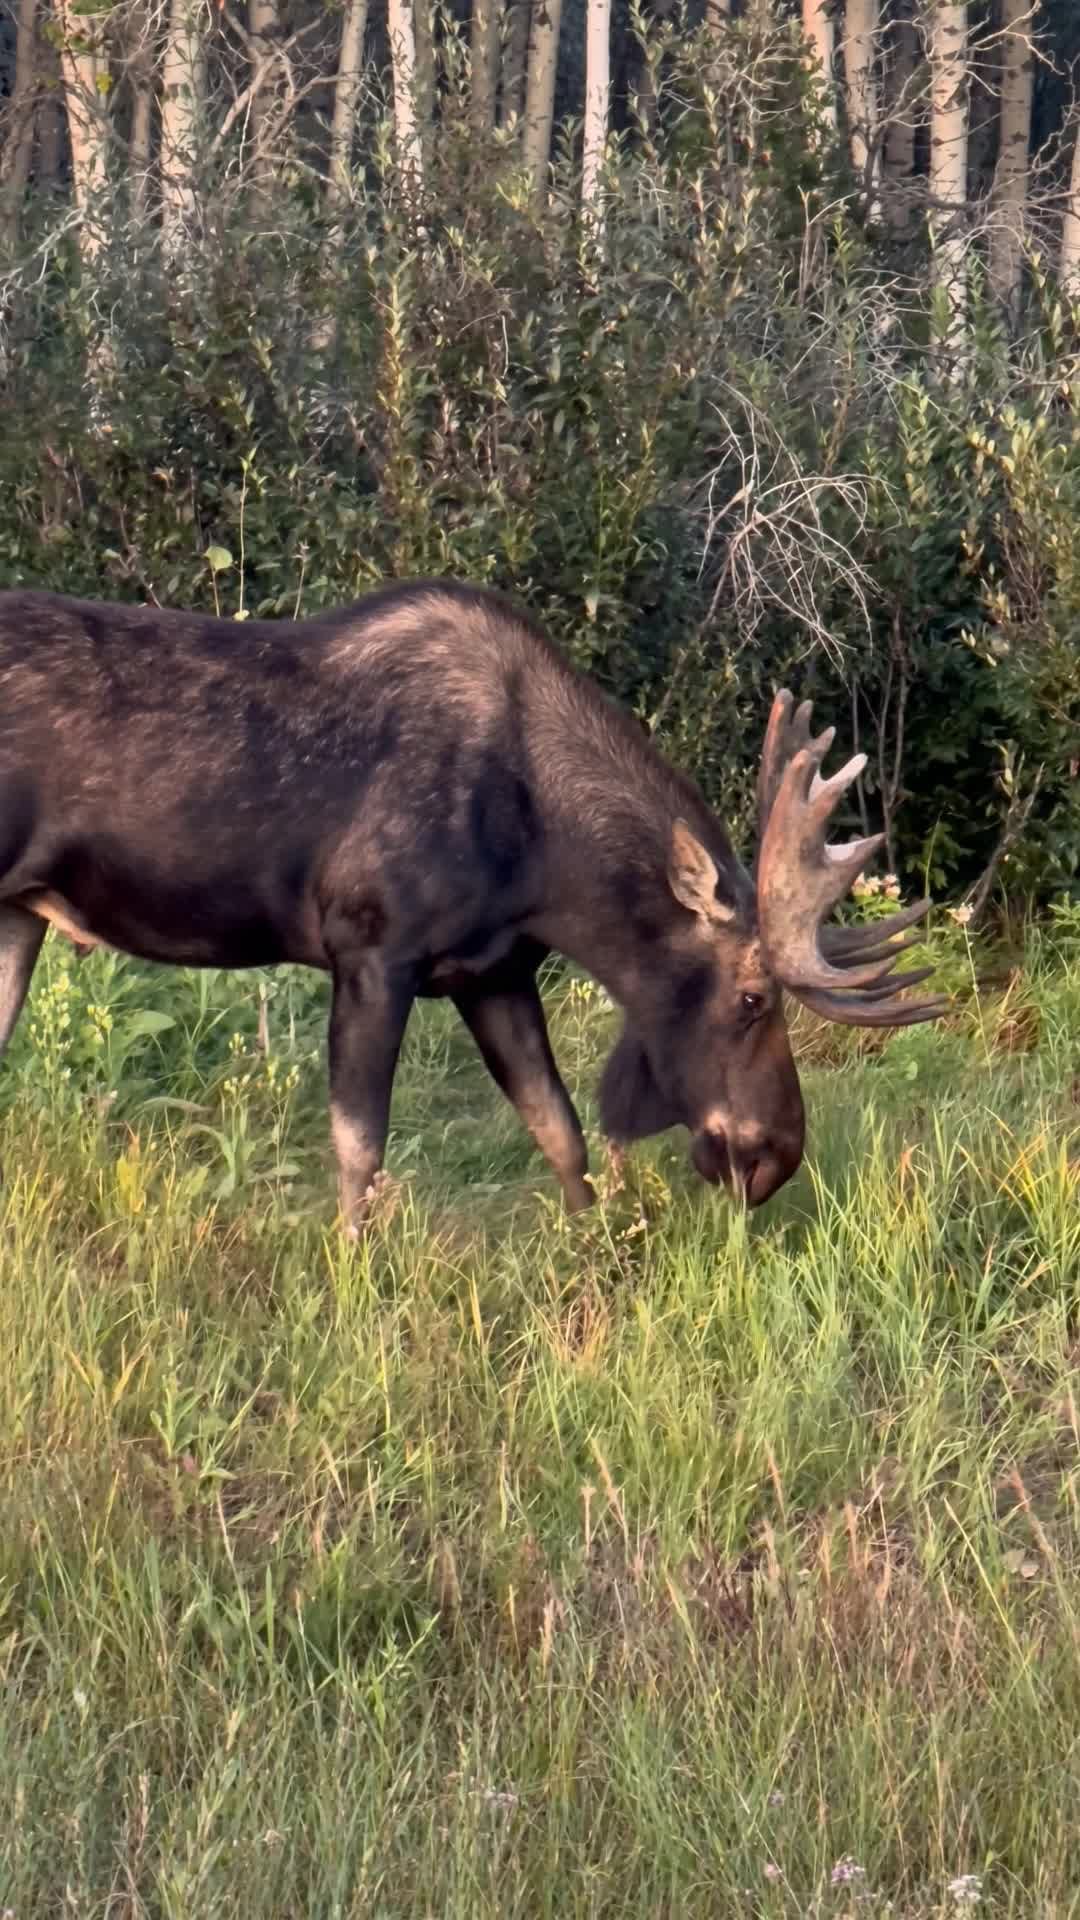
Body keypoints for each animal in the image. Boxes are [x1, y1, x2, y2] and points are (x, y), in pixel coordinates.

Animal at [0, 577, 946, 1228]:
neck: (545, 864)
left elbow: (560, 1130)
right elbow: (361, 1151)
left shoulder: (495, 970)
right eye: (752, 999)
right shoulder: (372, 950)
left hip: (14, 912)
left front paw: (597, 1244)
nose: (776, 1159)